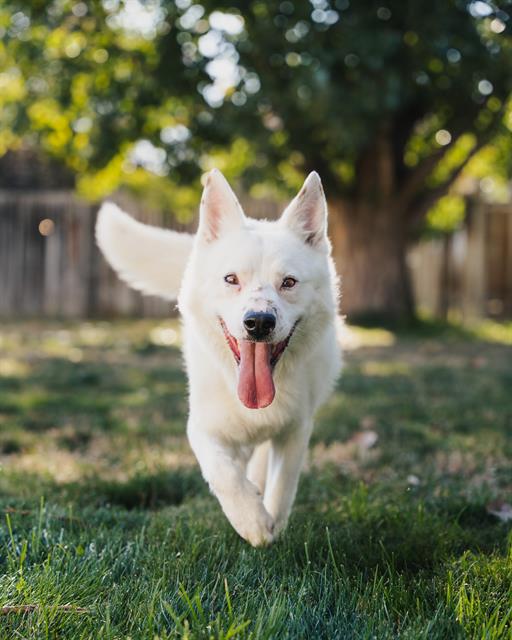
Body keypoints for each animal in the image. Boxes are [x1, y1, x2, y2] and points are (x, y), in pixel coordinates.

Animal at [97, 170, 342, 544]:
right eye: (231, 279)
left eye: (288, 282)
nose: (259, 322)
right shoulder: (202, 427)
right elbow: (223, 473)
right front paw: (251, 521)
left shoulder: (297, 429)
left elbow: (282, 485)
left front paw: (272, 525)